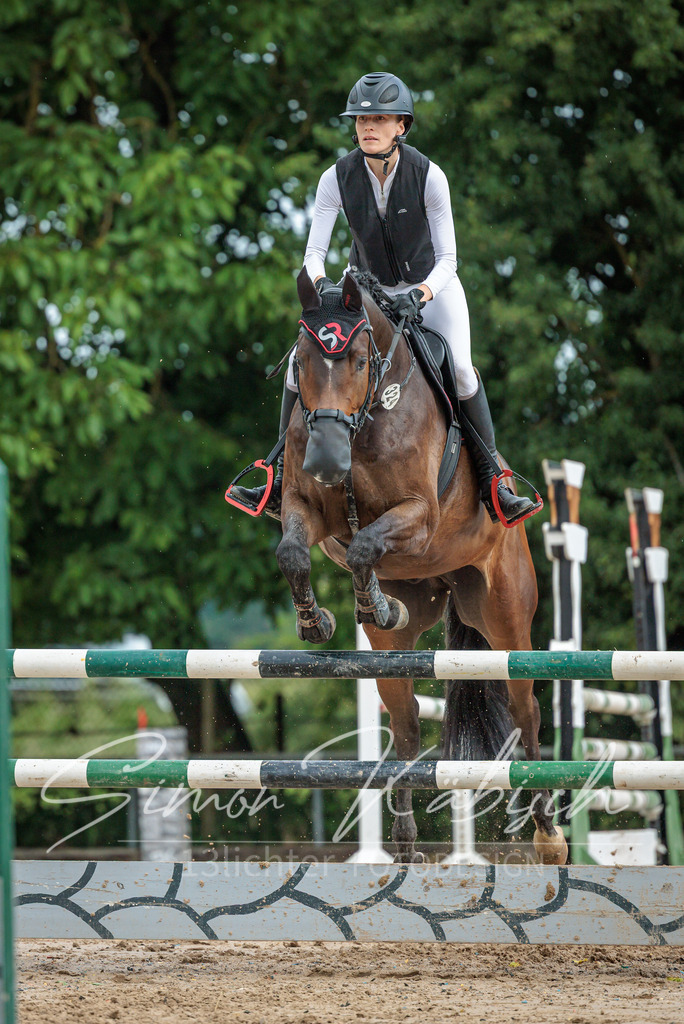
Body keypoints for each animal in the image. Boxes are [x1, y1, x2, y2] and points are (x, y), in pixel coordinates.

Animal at [275, 267, 567, 865]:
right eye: (301, 360)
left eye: (359, 360)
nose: (326, 460)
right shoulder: (304, 505)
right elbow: (298, 551)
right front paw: (320, 620)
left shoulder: (420, 515)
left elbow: (365, 545)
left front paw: (369, 602)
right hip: (399, 648)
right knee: (406, 725)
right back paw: (405, 846)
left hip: (505, 618)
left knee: (525, 710)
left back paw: (548, 838)